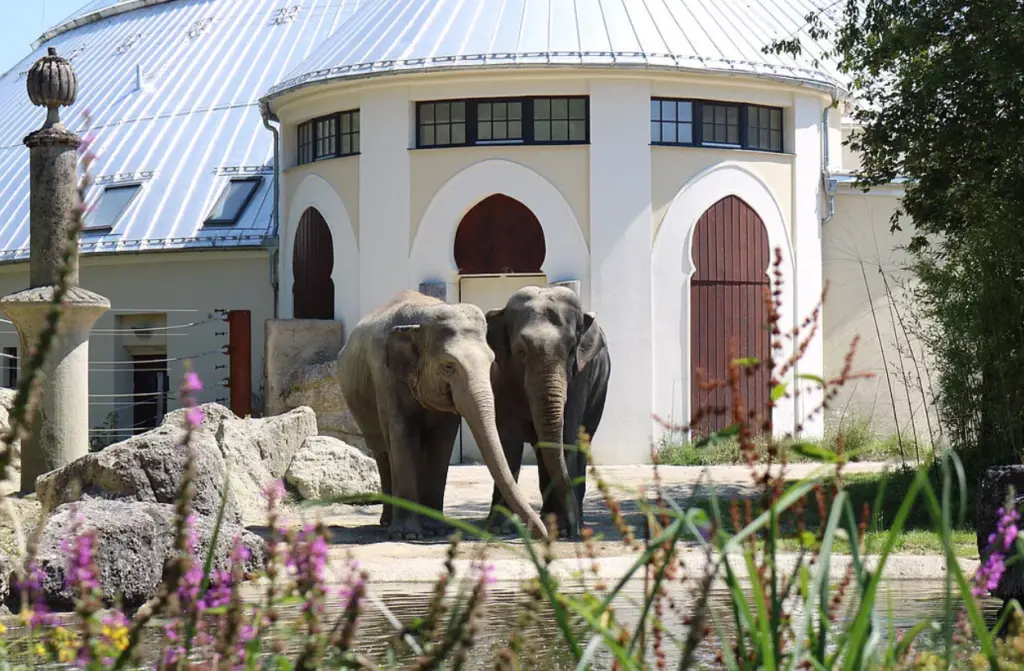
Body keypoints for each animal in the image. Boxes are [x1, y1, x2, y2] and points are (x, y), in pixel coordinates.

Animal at [337, 288, 548, 540]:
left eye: (491, 363)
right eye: (448, 367)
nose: (543, 534)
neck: (420, 320)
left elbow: (443, 440)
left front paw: (436, 529)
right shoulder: (385, 377)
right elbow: (402, 433)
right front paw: (408, 535)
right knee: (383, 451)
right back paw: (387, 522)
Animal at [481, 286, 606, 536]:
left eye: (571, 350)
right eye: (520, 351)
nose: (575, 533)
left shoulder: (580, 378)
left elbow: (567, 435)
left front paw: (565, 527)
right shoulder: (501, 377)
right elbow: (508, 441)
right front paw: (498, 528)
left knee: (581, 442)